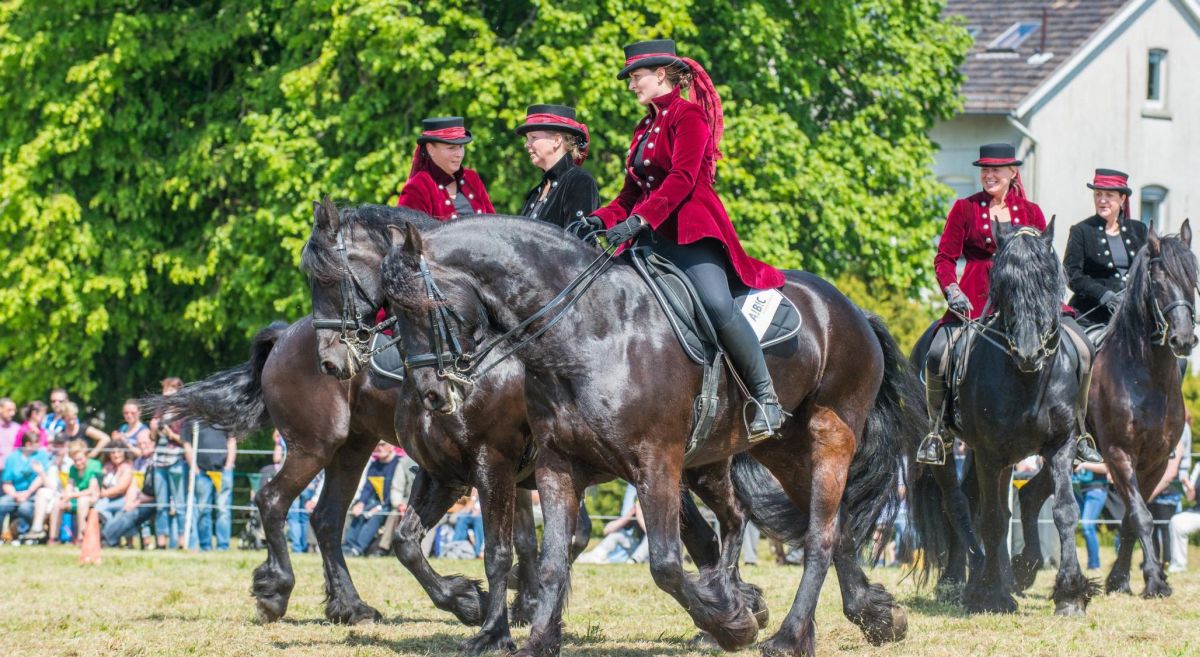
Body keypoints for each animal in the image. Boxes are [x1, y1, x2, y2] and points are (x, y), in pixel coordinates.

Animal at [369, 217, 912, 657]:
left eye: (427, 305)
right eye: (389, 308)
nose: (433, 393)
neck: (589, 331)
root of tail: (852, 309)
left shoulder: (643, 462)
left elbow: (663, 564)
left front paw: (732, 625)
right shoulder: (548, 465)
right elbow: (545, 561)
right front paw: (534, 637)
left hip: (828, 438)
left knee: (817, 536)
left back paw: (786, 635)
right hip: (781, 451)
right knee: (820, 528)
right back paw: (873, 615)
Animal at [907, 220, 1099, 613]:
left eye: (1048, 278)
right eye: (1004, 282)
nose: (1028, 353)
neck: (1028, 381)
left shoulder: (1061, 445)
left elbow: (1064, 509)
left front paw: (1071, 593)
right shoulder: (989, 452)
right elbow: (993, 520)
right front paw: (992, 594)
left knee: (973, 502)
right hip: (948, 447)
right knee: (957, 504)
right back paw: (960, 580)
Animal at [1094, 219, 1195, 594]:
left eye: (1193, 277)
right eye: (1159, 280)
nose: (1184, 339)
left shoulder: (1156, 460)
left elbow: (1130, 518)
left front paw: (1121, 579)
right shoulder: (1118, 453)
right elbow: (1141, 515)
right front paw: (1153, 579)